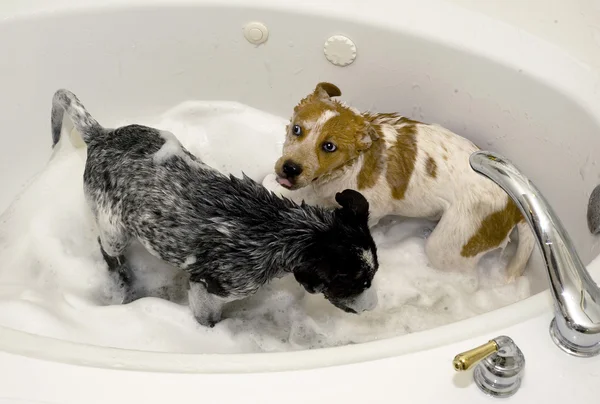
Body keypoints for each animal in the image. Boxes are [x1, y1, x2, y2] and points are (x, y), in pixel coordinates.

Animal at [51, 90, 380, 326]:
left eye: (372, 276)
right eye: (356, 282)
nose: (374, 307)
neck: (279, 229)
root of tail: (100, 135)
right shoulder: (208, 289)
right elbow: (208, 319)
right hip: (113, 227)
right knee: (107, 250)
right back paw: (123, 279)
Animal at [264, 80, 536, 280]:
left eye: (329, 146)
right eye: (297, 129)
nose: (290, 168)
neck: (350, 165)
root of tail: (514, 206)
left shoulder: (372, 210)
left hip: (451, 244)